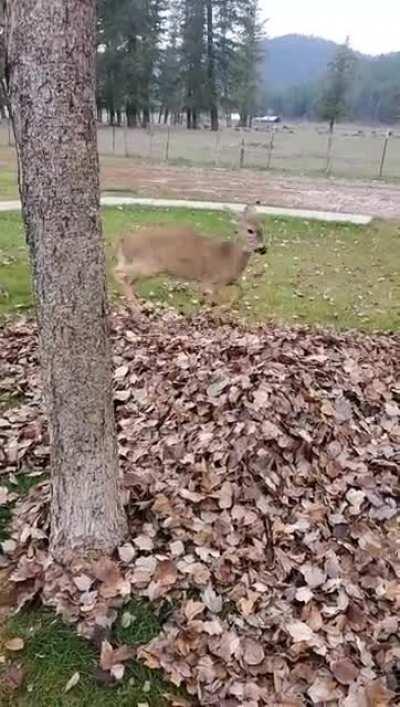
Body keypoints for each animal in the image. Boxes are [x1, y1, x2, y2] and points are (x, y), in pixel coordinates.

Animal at [113, 205, 267, 309]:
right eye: (250, 230)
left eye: (262, 228)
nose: (263, 249)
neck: (230, 257)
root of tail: (124, 240)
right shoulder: (209, 280)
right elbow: (210, 299)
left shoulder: (229, 281)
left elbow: (242, 291)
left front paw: (225, 306)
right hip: (148, 264)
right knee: (118, 272)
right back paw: (134, 304)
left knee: (126, 277)